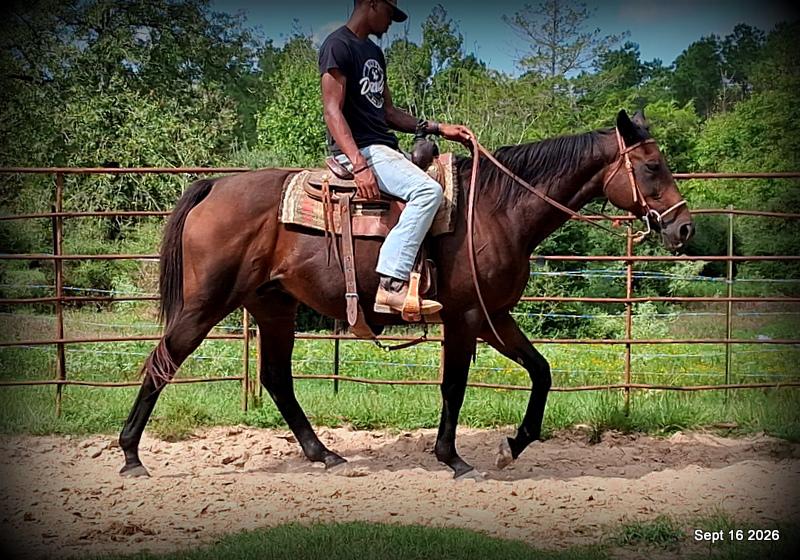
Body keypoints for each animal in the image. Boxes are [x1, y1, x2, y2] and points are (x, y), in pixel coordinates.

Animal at [118, 109, 694, 479]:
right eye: (651, 167)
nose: (683, 228)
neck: (494, 208)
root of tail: (214, 185)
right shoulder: (465, 318)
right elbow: (454, 386)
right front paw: (453, 459)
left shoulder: (494, 316)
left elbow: (542, 371)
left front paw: (513, 445)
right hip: (205, 305)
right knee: (161, 363)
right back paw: (130, 457)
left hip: (274, 306)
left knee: (277, 380)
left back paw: (324, 454)